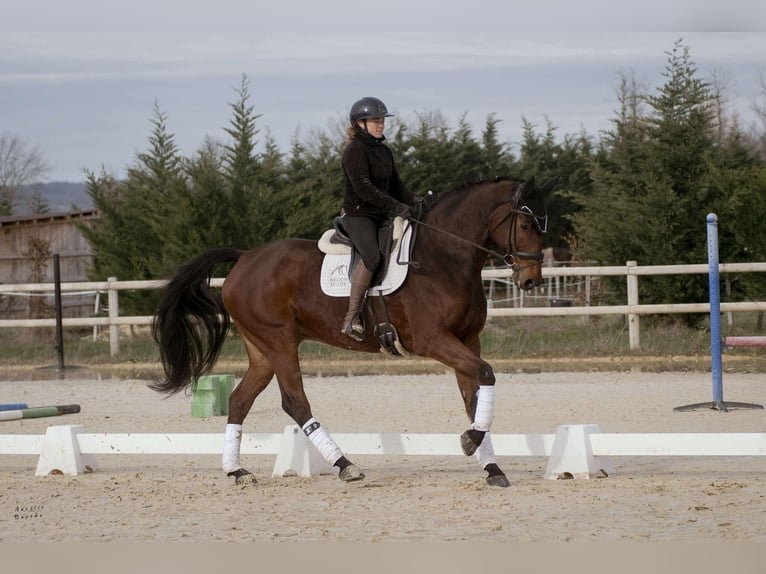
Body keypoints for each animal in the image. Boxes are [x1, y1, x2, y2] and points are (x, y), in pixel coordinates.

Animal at [150, 177, 560, 490]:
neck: (444, 257)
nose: (531, 280)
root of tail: (246, 257)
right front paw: (470, 440)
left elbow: (474, 397)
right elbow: (487, 374)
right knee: (295, 403)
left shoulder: (467, 340)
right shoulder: (433, 340)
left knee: (238, 401)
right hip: (279, 341)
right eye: (526, 225)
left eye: (543, 226)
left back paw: (237, 471)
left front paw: (490, 465)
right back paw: (346, 466)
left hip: (262, 351)